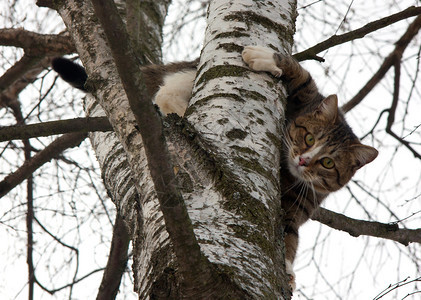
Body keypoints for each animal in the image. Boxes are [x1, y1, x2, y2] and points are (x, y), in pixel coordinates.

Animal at [51, 45, 378, 292]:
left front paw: (287, 270)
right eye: (309, 137)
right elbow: (300, 73)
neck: (287, 174)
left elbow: (289, 238)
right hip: (187, 75)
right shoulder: (308, 96)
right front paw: (266, 59)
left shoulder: (296, 209)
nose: (304, 160)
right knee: (167, 92)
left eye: (328, 163)